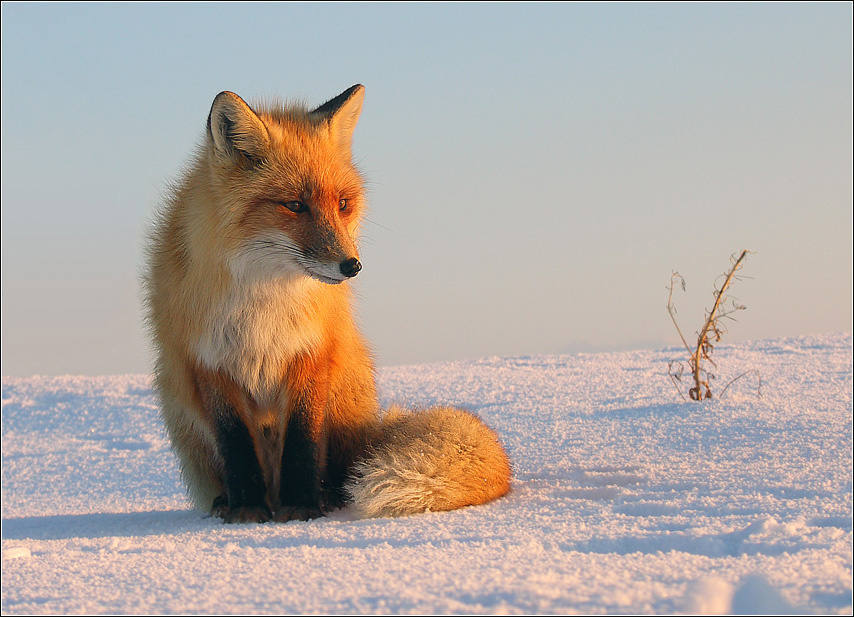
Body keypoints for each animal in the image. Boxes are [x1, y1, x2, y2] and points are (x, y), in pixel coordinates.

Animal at [144, 85, 511, 523]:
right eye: (294, 205)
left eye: (343, 204)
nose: (351, 266)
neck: (264, 300)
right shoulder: (209, 361)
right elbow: (236, 445)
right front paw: (246, 508)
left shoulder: (313, 351)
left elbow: (303, 438)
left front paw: (303, 505)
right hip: (175, 397)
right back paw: (232, 502)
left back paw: (329, 496)